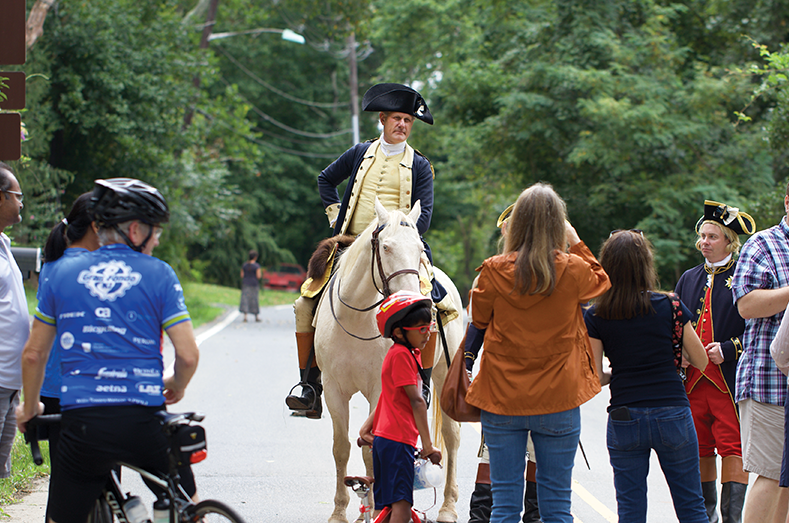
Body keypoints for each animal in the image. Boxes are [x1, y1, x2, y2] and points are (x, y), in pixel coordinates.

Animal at [312, 200, 462, 523]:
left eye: (420, 248)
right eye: (386, 247)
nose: (419, 304)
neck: (356, 320)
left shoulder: (380, 390)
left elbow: (371, 448)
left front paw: (378, 507)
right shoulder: (333, 389)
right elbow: (341, 447)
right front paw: (340, 511)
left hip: (446, 374)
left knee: (452, 437)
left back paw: (448, 507)